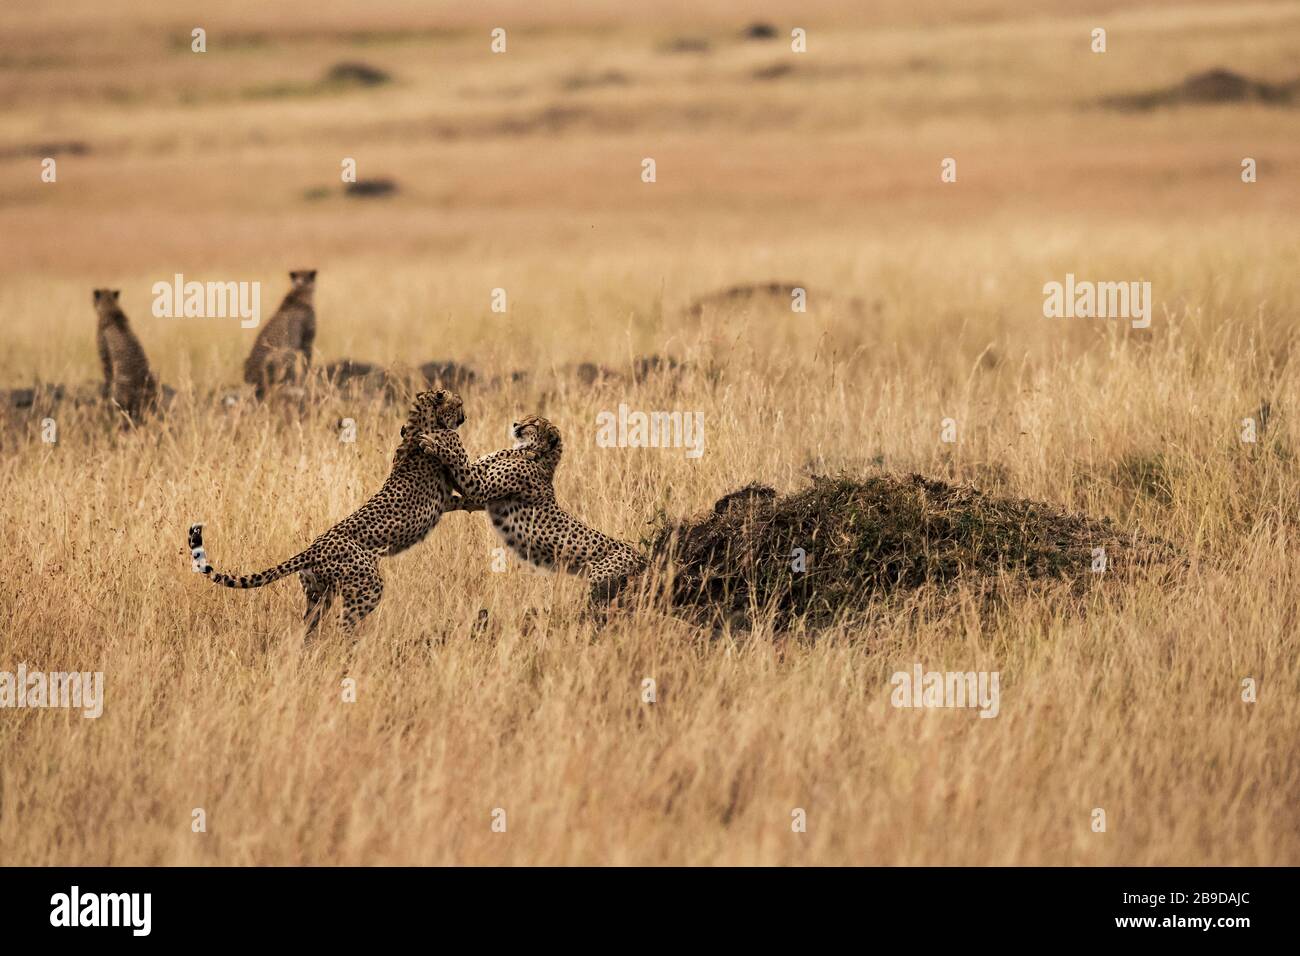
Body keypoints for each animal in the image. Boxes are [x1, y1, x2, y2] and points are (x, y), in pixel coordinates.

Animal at [189, 390, 470, 634]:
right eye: (459, 404)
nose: (464, 418)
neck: (422, 422)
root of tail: (312, 548)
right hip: (367, 586)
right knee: (343, 624)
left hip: (318, 595)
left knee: (307, 627)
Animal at [418, 413, 647, 606]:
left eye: (533, 424)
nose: (515, 424)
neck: (535, 454)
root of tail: (641, 555)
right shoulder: (478, 498)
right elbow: (458, 494)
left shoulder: (478, 487)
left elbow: (457, 460)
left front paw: (434, 444)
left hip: (600, 578)